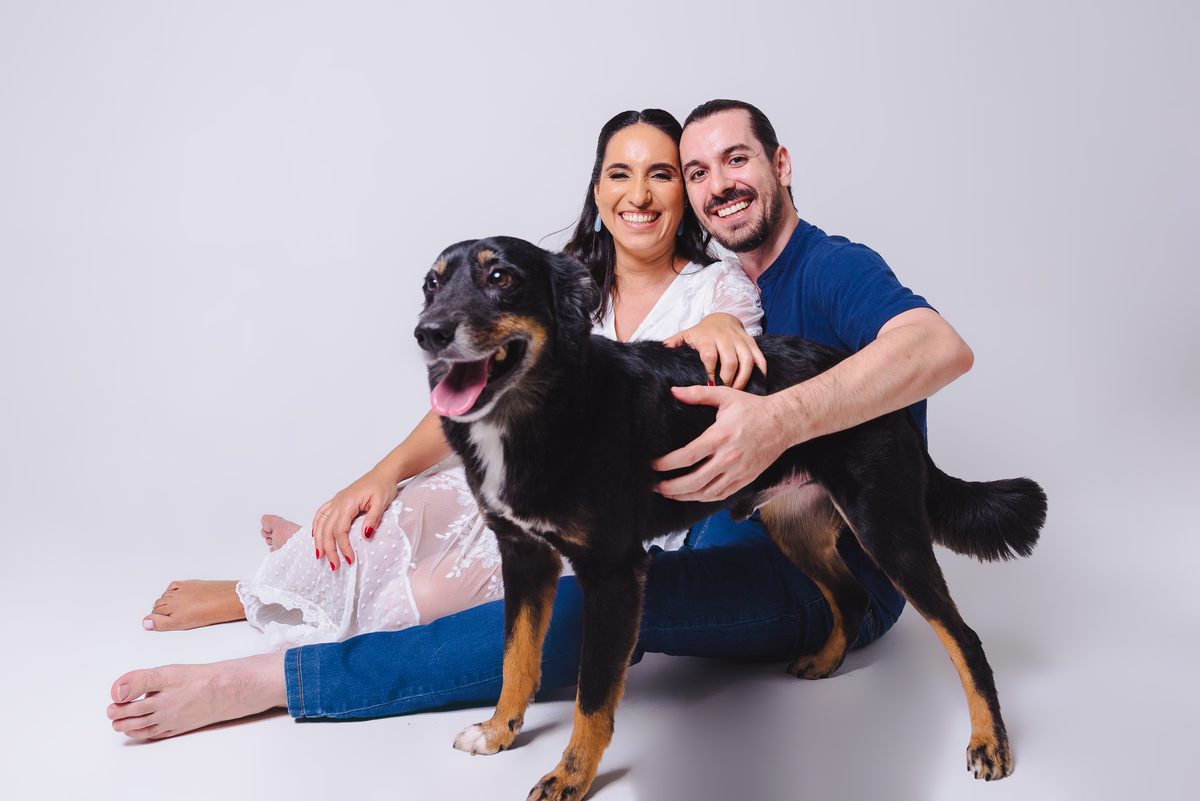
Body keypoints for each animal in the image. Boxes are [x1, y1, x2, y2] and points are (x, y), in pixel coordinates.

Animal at [414, 236, 1046, 800]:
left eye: (502, 277)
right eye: (431, 284)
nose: (428, 333)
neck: (541, 409)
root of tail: (859, 369)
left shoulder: (613, 573)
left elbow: (591, 694)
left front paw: (570, 778)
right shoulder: (524, 557)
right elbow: (516, 659)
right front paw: (498, 732)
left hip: (885, 527)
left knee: (962, 636)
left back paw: (989, 742)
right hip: (796, 526)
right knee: (851, 597)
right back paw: (824, 662)